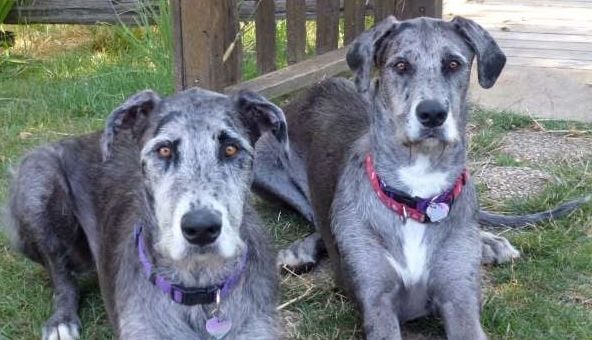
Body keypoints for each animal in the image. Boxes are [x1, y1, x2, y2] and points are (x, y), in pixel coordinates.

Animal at [4, 88, 286, 340]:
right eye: (164, 149)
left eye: (230, 149)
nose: (201, 228)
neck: (198, 284)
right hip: (36, 179)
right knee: (59, 271)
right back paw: (61, 321)